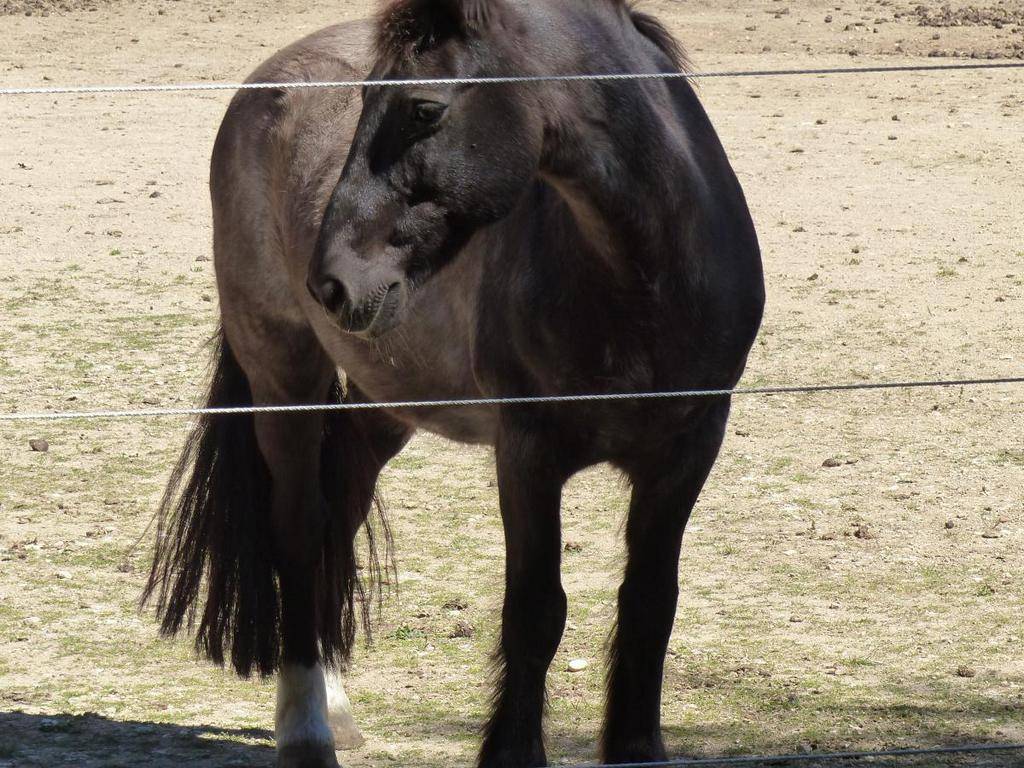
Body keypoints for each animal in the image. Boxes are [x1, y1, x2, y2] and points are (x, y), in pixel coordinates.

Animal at [148, 3, 765, 765]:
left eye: (424, 108)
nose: (331, 281)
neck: (640, 282)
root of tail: (264, 83)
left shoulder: (687, 452)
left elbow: (650, 602)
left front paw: (635, 746)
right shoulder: (528, 455)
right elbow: (535, 612)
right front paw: (511, 750)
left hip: (389, 399)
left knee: (339, 508)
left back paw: (337, 704)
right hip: (283, 371)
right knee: (298, 526)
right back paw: (307, 726)